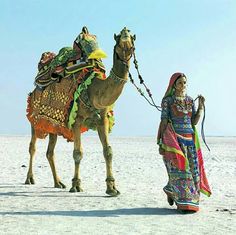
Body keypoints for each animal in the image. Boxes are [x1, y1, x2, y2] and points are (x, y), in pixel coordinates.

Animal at [24, 27, 136, 196]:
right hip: (34, 120)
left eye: (132, 44)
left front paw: (112, 188)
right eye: (117, 43)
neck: (94, 89)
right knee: (33, 147)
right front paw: (76, 185)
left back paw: (58, 182)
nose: (125, 30)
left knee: (50, 152)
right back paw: (29, 179)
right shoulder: (76, 120)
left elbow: (108, 151)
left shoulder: (102, 119)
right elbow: (78, 153)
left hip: (52, 126)